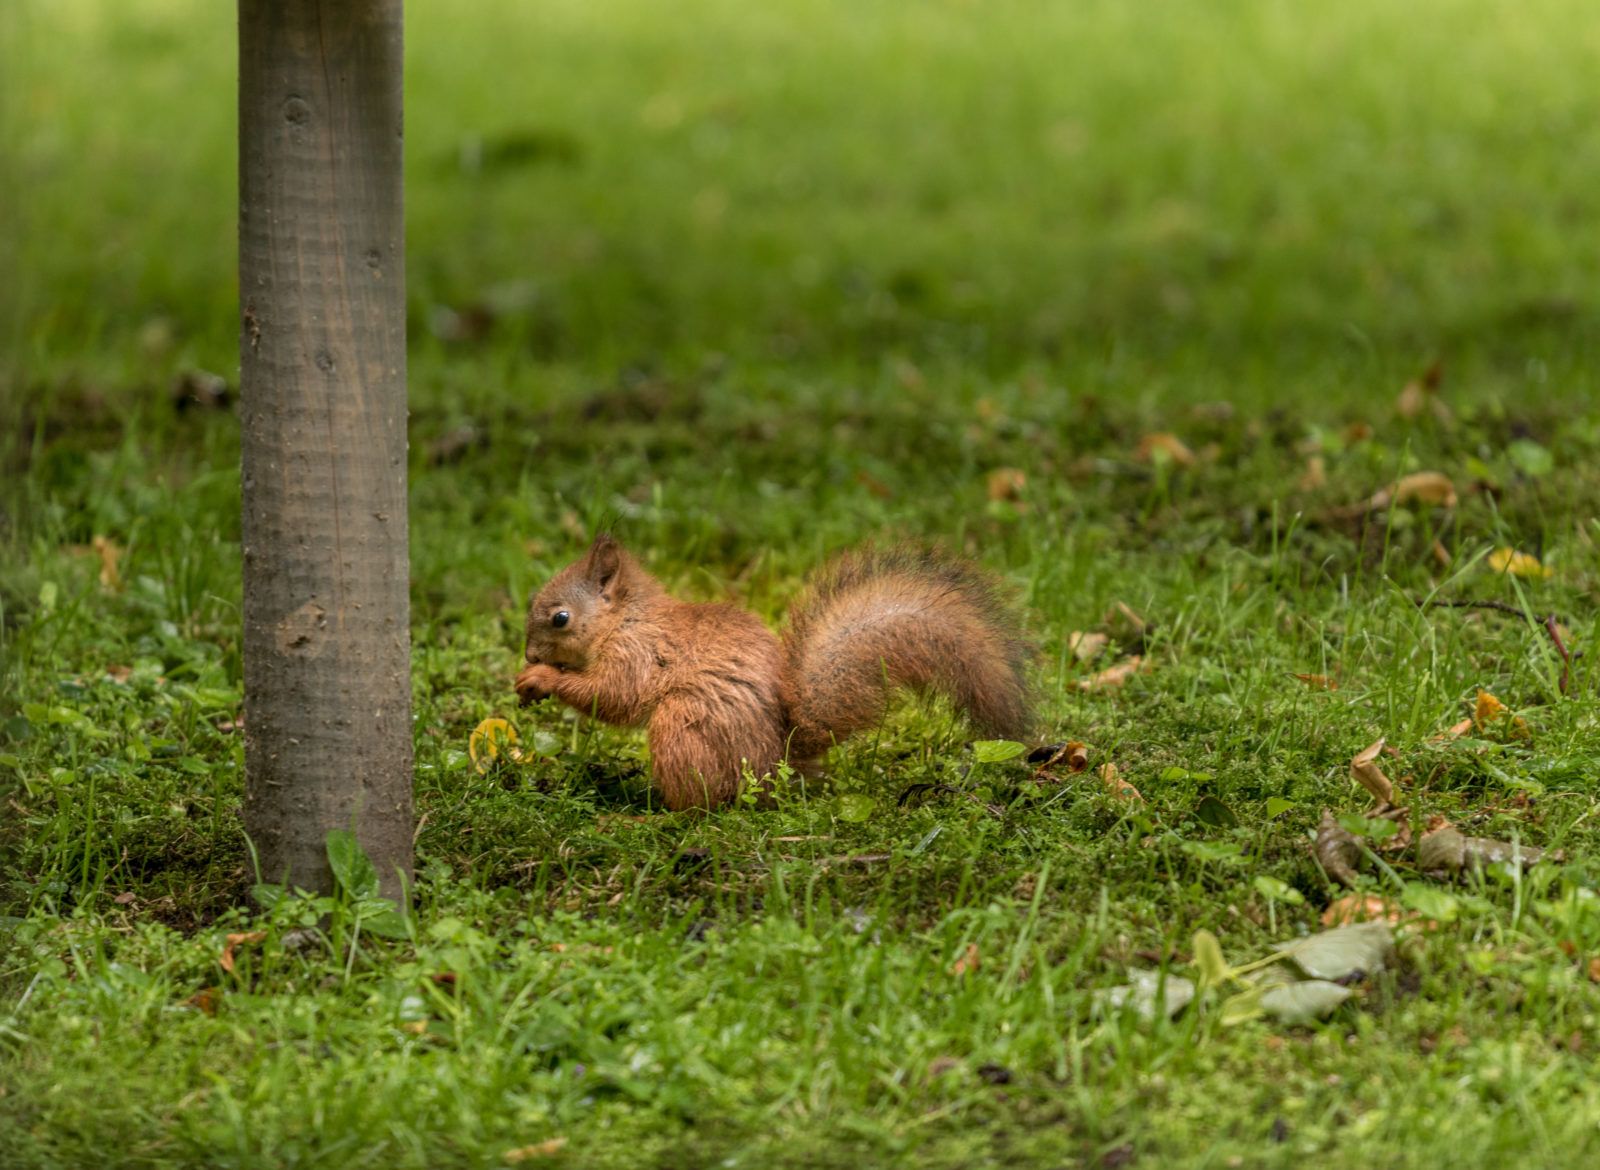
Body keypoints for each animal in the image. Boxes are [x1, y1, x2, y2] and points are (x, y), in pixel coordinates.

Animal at [515, 534, 1036, 809]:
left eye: (560, 618)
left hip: (683, 727)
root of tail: (777, 762)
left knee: (702, 807)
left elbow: (615, 696)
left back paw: (650, 814)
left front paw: (543, 679)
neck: (626, 620)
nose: (529, 654)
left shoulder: (638, 655)